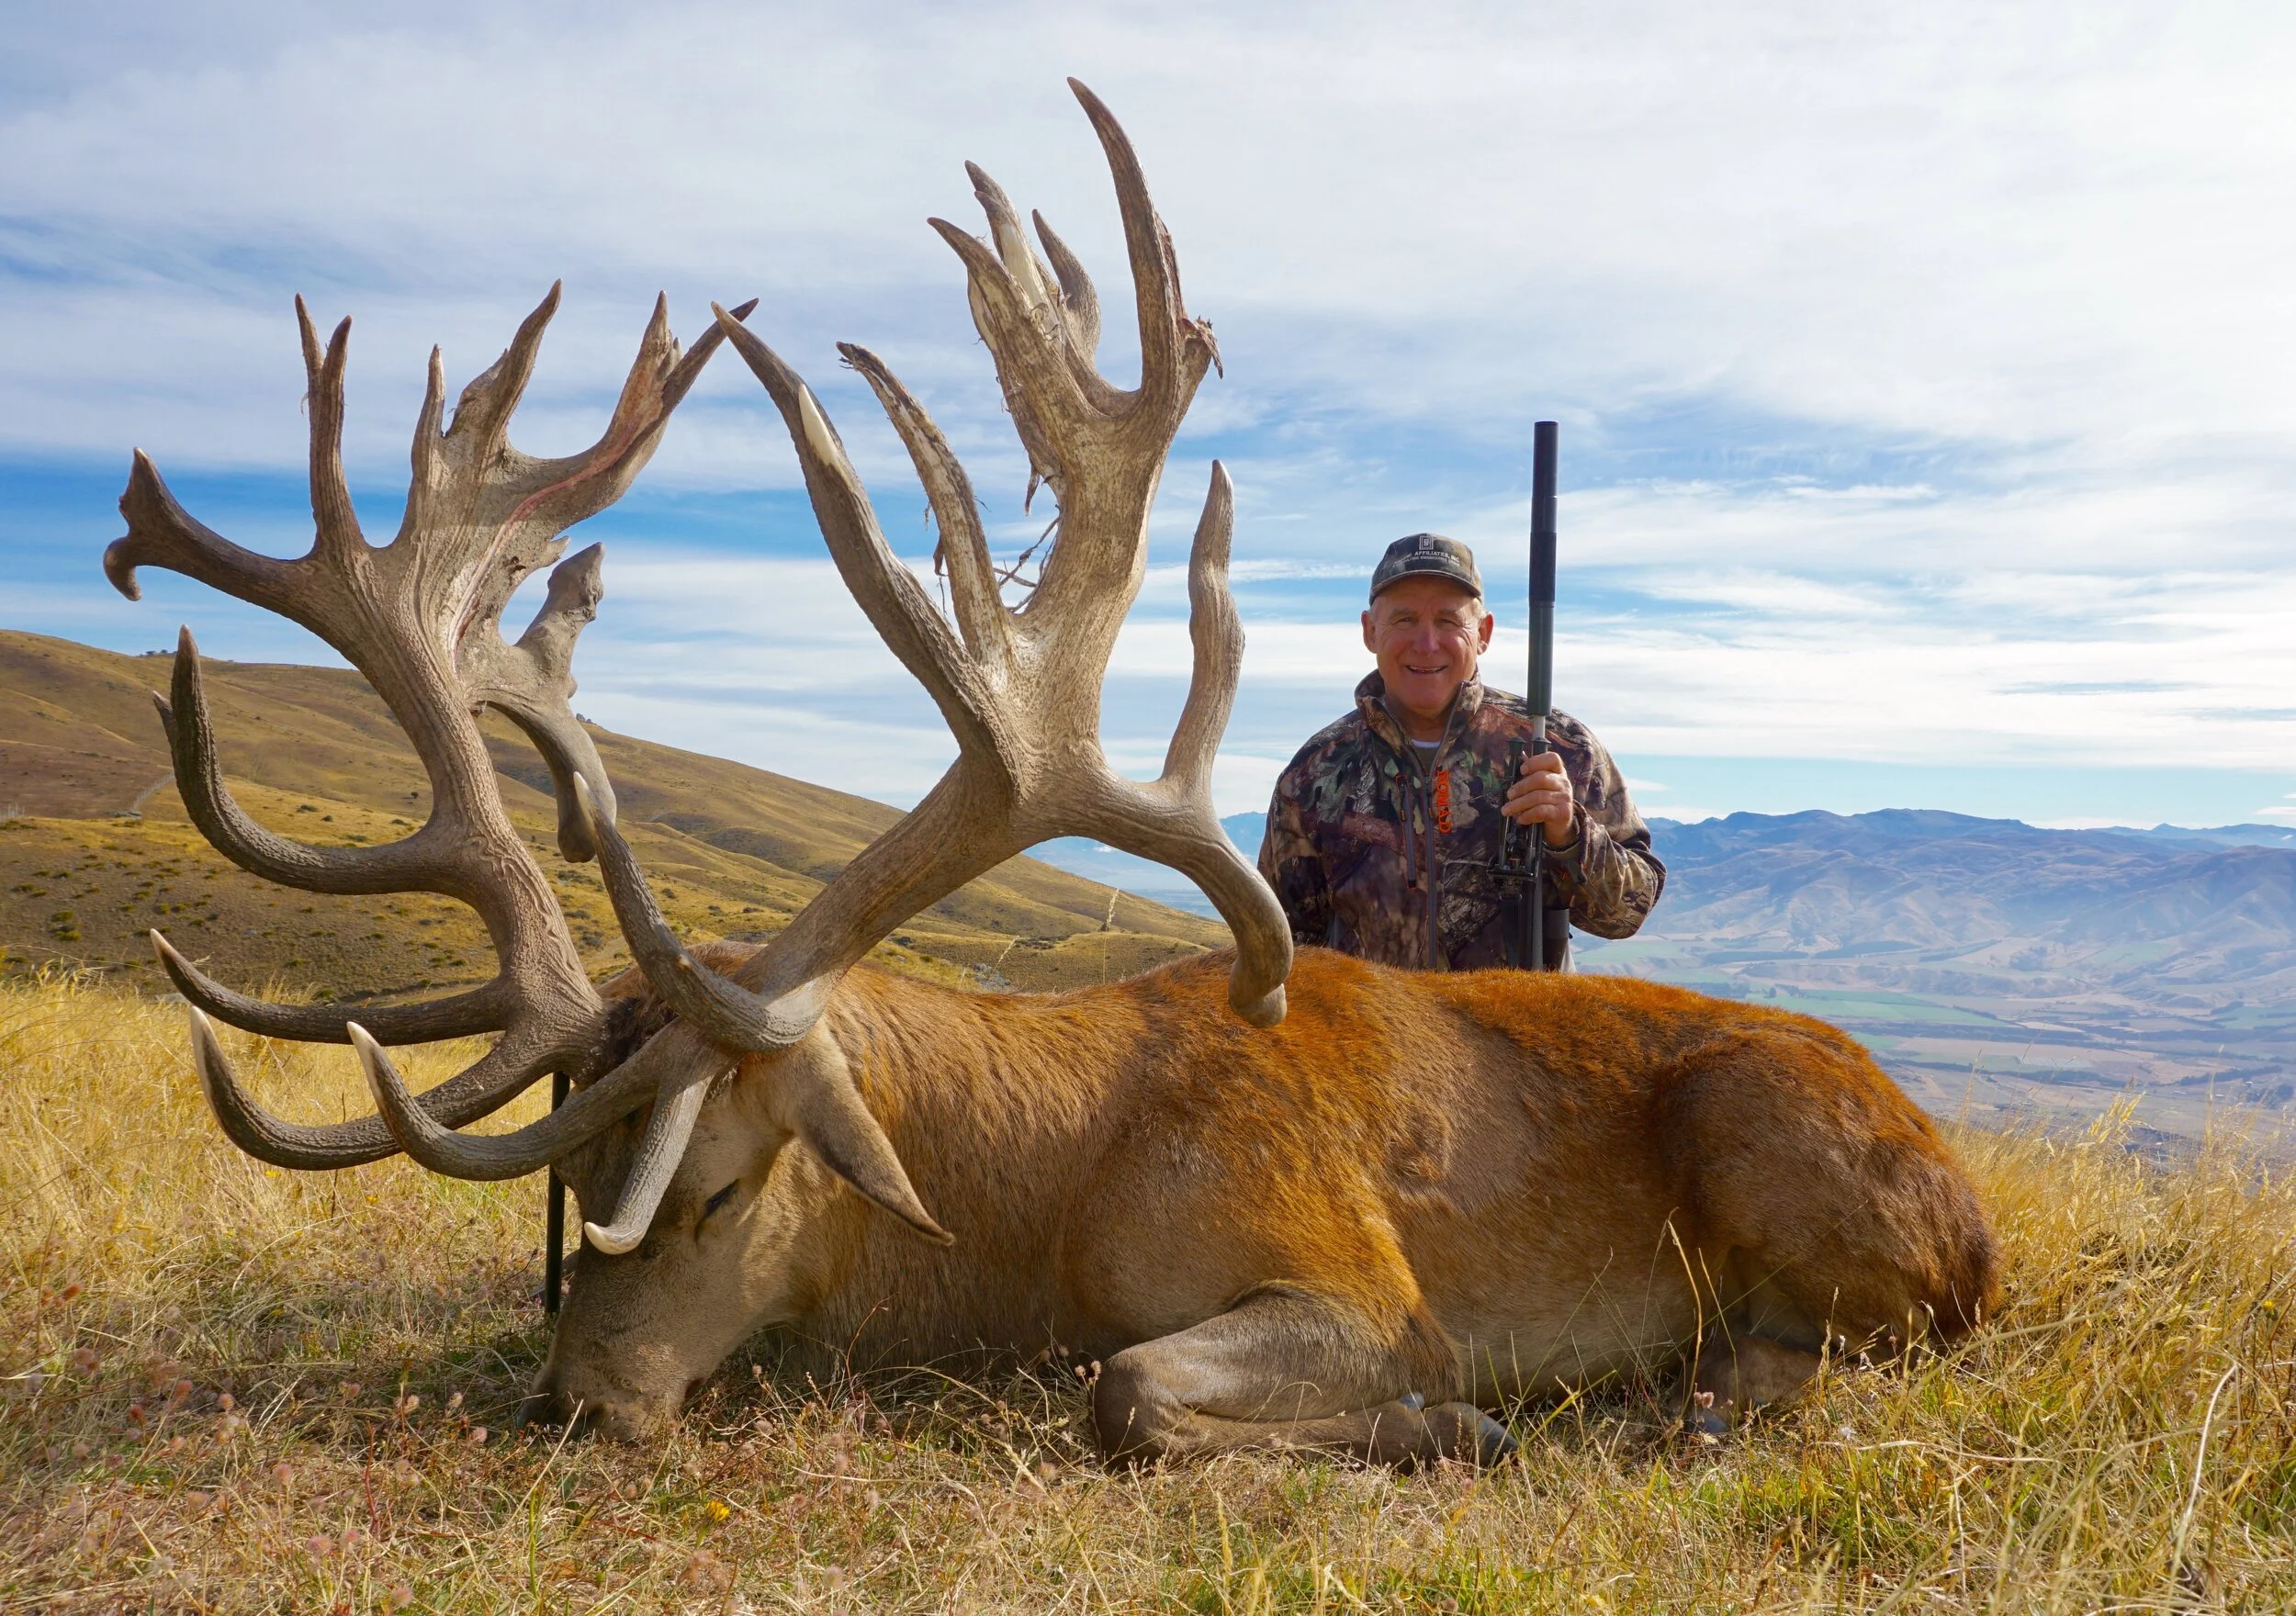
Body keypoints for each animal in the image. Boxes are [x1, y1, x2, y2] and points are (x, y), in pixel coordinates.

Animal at [110, 82, 1998, 1465]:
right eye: (579, 1195)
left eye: (716, 1190)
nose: (578, 1403)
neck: (1044, 1204)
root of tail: (1971, 1200)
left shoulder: (1358, 1273)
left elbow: (1133, 1387)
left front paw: (1451, 1419)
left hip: (1783, 1151)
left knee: (1857, 1351)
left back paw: (1690, 1388)